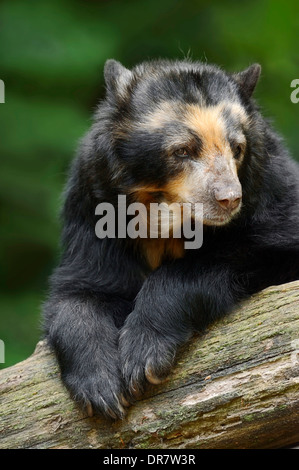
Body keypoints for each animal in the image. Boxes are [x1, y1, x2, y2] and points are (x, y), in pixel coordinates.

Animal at [42, 58, 299, 418]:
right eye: (182, 150)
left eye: (237, 148)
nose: (229, 199)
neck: (169, 216)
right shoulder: (93, 204)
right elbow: (83, 289)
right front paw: (101, 387)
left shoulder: (272, 194)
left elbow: (242, 254)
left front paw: (143, 356)